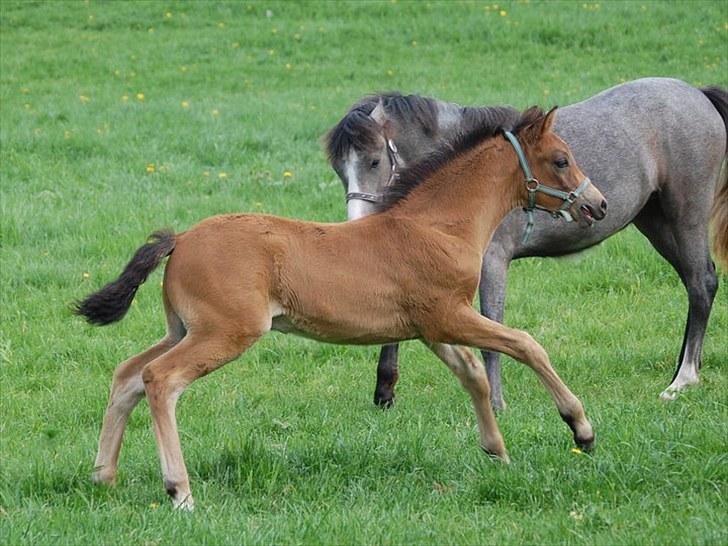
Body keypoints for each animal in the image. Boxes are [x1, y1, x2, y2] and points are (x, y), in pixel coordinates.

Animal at [77, 108, 604, 508]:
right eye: (561, 160)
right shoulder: (448, 315)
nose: (596, 205)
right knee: (160, 380)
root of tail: (182, 239)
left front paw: (497, 453)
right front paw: (580, 429)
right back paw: (179, 491)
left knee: (127, 375)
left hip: (183, 328)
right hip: (225, 332)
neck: (437, 225)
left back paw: (104, 476)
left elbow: (473, 373)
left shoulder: (429, 327)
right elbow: (526, 344)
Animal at [328, 76, 728, 408]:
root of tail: (697, 94)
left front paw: (495, 401)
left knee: (702, 283)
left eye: (375, 161)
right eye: (338, 169)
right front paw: (384, 392)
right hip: (656, 222)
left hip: (685, 216)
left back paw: (682, 379)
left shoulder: (491, 262)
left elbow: (492, 326)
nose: (356, 225)